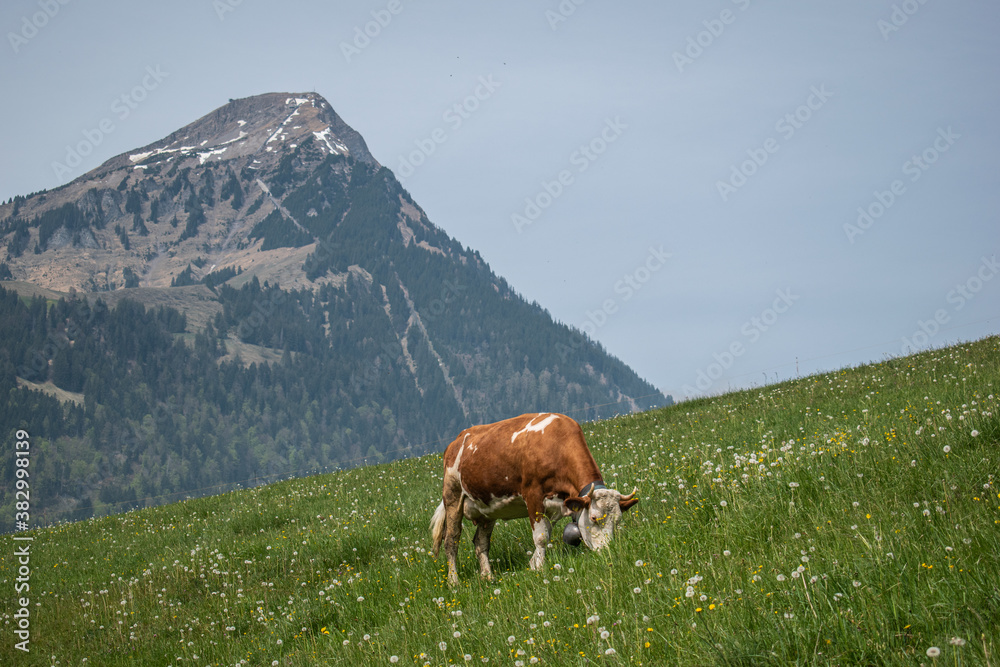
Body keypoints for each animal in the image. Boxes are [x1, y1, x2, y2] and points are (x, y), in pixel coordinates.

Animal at [430, 412, 637, 586]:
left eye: (618, 521)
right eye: (594, 518)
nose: (607, 551)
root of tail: (456, 440)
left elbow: (546, 533)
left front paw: (534, 562)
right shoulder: (533, 495)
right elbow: (541, 537)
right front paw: (538, 566)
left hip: (486, 509)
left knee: (480, 542)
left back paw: (488, 576)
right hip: (453, 496)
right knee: (451, 540)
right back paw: (454, 582)